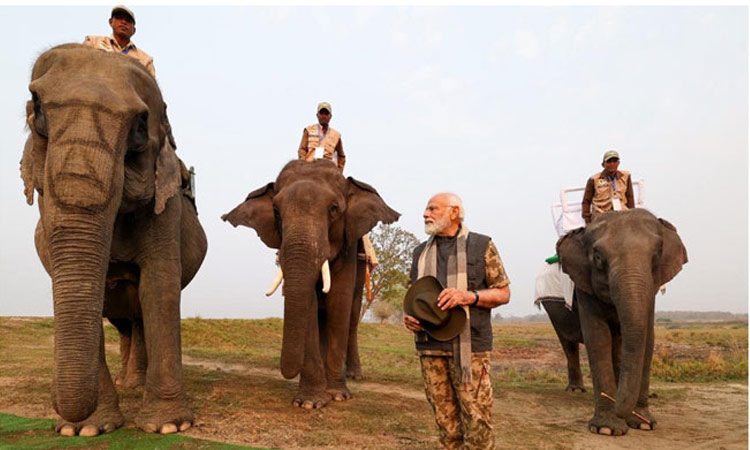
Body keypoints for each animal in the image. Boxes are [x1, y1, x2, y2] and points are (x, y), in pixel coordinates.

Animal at [20, 44, 209, 436]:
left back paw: (136, 385)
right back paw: (128, 385)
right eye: (38, 110)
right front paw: (83, 430)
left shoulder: (165, 205)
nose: (54, 398)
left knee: (138, 317)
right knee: (123, 321)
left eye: (139, 126)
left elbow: (159, 287)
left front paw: (168, 427)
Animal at [222, 160, 400, 410]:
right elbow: (310, 305)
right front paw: (309, 402)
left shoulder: (348, 249)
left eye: (334, 209)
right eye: (276, 211)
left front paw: (338, 395)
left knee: (352, 316)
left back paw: (354, 375)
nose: (288, 371)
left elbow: (339, 302)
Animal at [560, 209, 688, 438]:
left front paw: (644, 424)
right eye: (598, 257)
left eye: (657, 254)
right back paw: (576, 390)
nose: (617, 405)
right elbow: (598, 337)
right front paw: (606, 429)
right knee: (568, 342)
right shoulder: (583, 285)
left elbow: (647, 338)